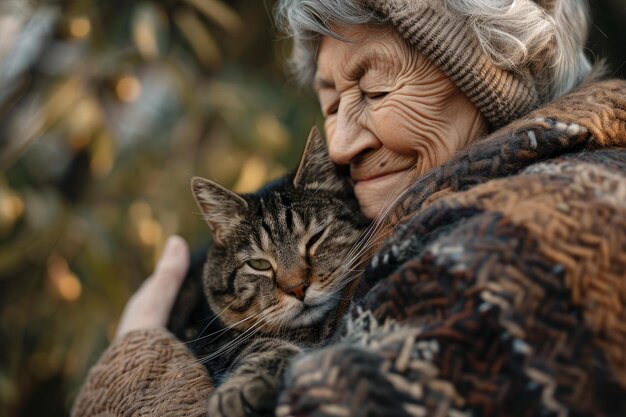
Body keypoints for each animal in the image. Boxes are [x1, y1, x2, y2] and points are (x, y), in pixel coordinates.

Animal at [168, 127, 370, 416]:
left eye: (315, 238)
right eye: (259, 264)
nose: (298, 288)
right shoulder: (207, 339)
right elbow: (261, 343)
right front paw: (241, 390)